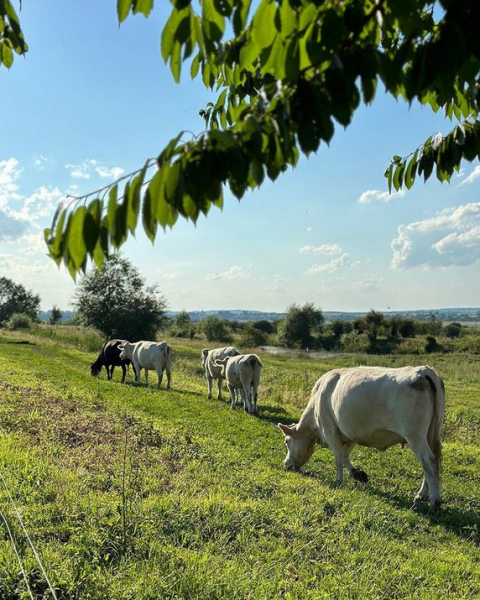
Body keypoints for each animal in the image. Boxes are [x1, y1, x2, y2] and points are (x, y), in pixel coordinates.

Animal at [278, 366, 446, 510]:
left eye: (286, 442)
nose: (286, 464)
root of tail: (423, 370)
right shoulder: (351, 432)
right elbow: (345, 455)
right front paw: (357, 474)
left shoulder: (329, 430)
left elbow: (338, 457)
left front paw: (339, 480)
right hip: (430, 434)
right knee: (430, 464)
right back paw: (422, 495)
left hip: (415, 436)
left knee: (428, 461)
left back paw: (434, 500)